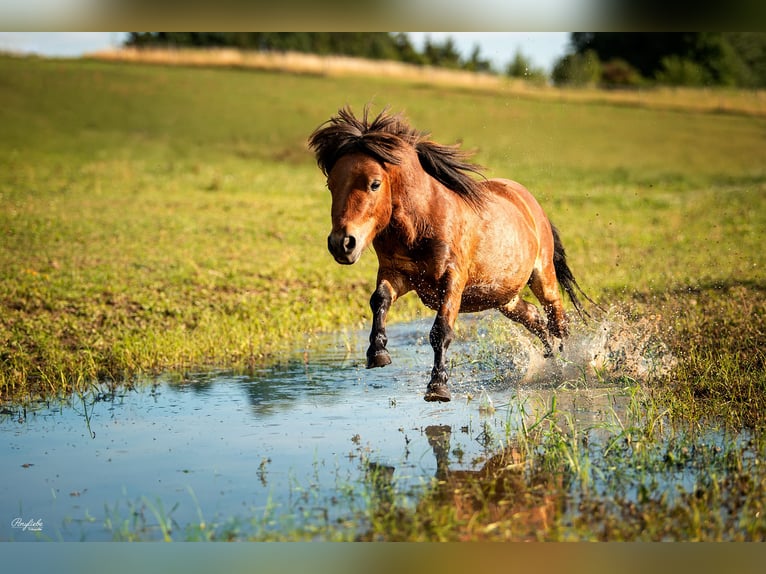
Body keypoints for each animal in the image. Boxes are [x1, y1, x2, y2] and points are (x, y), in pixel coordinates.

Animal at [308, 105, 592, 402]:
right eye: (331, 185)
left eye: (374, 184)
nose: (342, 243)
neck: (422, 221)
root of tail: (530, 202)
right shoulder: (398, 274)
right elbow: (379, 300)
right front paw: (378, 353)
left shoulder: (452, 279)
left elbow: (441, 330)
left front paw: (438, 387)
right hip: (504, 298)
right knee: (535, 318)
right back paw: (551, 362)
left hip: (542, 277)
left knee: (557, 320)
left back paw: (569, 365)